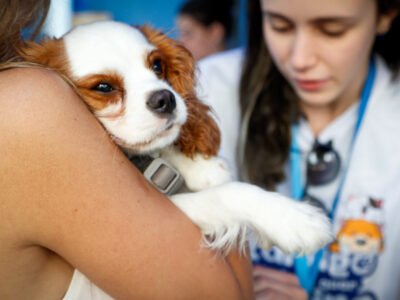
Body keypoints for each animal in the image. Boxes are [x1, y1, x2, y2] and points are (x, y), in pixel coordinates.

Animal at [22, 21, 334, 254]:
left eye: (157, 66)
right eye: (103, 87)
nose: (165, 99)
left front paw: (202, 167)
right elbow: (229, 193)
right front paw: (296, 220)